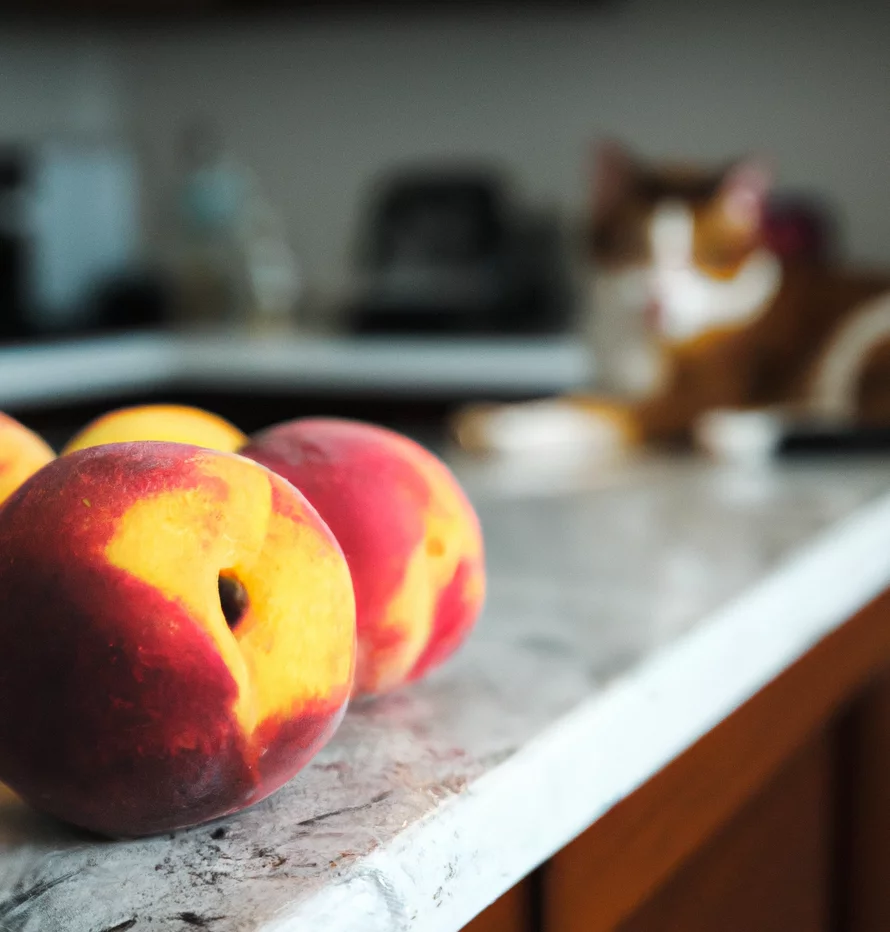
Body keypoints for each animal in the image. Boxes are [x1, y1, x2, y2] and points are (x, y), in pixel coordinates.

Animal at [454, 142, 888, 458]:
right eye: (633, 249)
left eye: (699, 257)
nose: (657, 300)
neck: (638, 338)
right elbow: (592, 394)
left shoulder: (699, 394)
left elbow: (603, 409)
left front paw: (507, 423)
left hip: (864, 331)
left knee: (866, 420)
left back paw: (738, 429)